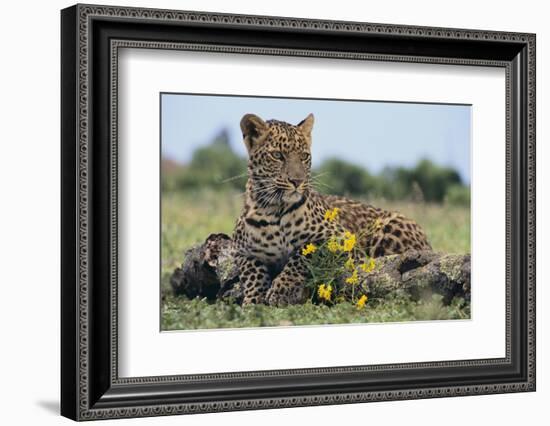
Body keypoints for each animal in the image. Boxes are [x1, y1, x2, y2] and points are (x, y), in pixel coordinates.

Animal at [232, 113, 432, 306]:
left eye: (304, 156)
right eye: (277, 155)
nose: (297, 181)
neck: (274, 209)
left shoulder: (339, 238)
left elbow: (304, 254)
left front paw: (282, 289)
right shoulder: (239, 250)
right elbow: (252, 271)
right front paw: (253, 299)